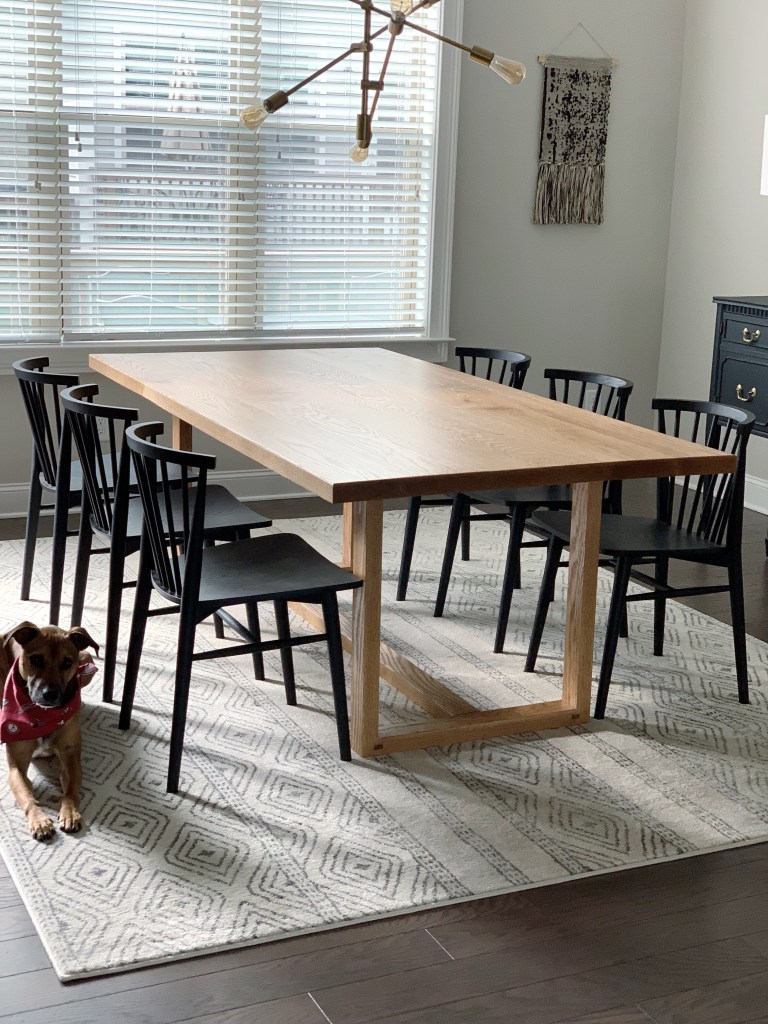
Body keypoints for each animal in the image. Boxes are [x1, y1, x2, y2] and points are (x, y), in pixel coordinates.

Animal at [1, 621, 99, 840]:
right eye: (36, 659)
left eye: (67, 662)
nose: (50, 694)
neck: (41, 716)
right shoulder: (16, 765)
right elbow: (28, 796)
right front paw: (39, 820)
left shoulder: (70, 758)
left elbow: (71, 790)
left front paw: (70, 813)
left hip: (87, 660)